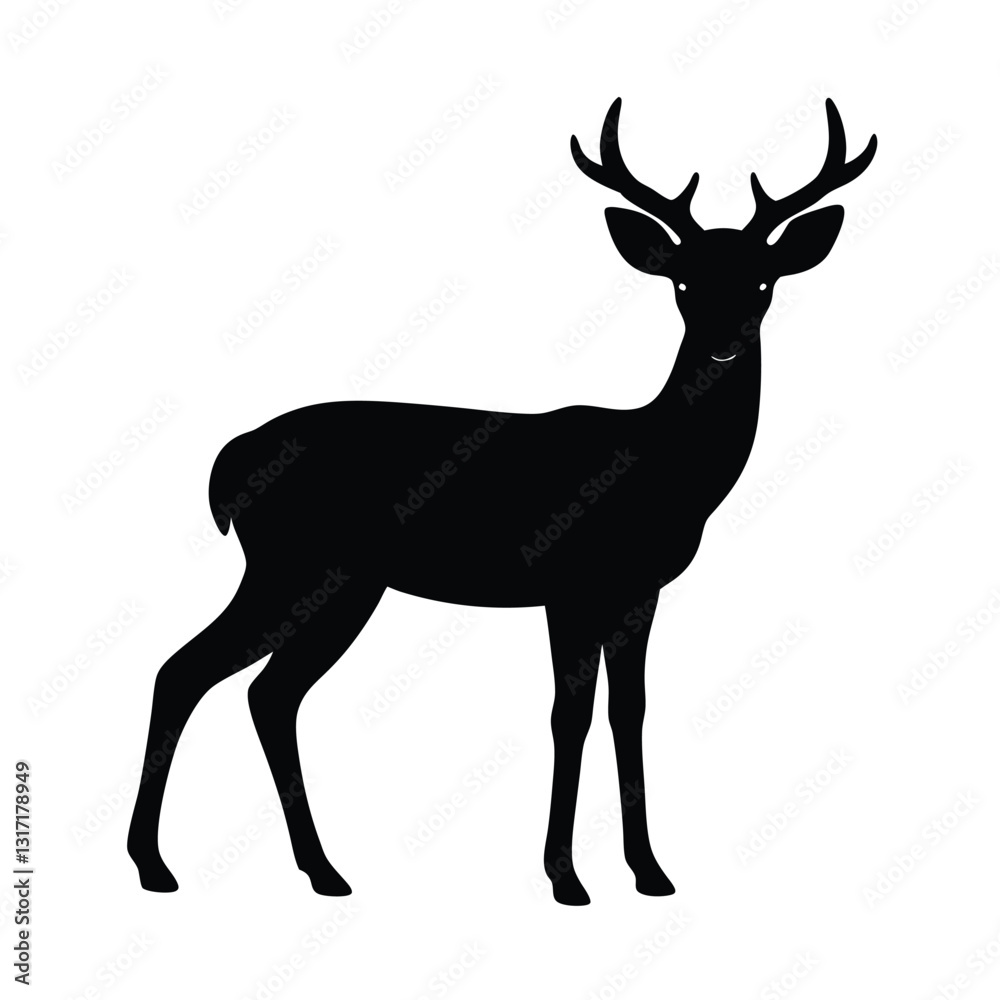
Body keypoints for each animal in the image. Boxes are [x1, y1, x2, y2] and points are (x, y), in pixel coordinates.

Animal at [127, 97, 876, 905]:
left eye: (764, 282)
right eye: (682, 283)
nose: (724, 342)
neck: (663, 471)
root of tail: (229, 460)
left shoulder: (638, 588)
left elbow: (629, 711)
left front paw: (649, 871)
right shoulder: (571, 581)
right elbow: (568, 714)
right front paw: (565, 877)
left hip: (337, 583)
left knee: (266, 694)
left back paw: (320, 870)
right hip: (296, 566)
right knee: (188, 671)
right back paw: (156, 864)